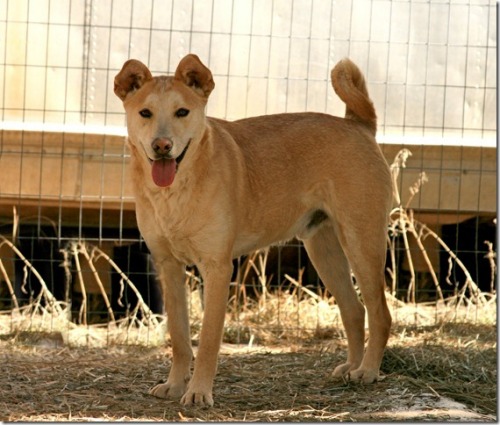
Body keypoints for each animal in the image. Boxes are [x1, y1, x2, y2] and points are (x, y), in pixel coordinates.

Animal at [115, 54, 392, 406]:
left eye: (182, 112)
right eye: (145, 113)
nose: (162, 145)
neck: (175, 192)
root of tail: (358, 124)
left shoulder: (217, 268)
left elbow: (208, 341)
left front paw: (199, 392)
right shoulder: (169, 267)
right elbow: (179, 338)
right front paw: (176, 385)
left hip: (361, 242)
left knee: (380, 312)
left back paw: (368, 371)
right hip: (324, 249)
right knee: (354, 310)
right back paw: (352, 367)